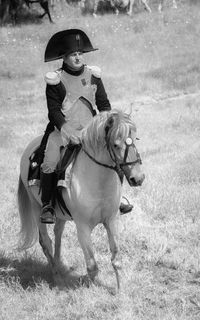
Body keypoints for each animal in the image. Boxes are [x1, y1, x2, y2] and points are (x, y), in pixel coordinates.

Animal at [17, 109, 145, 288]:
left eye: (135, 139)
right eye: (115, 145)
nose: (137, 178)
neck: (98, 181)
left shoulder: (111, 220)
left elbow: (116, 260)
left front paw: (120, 290)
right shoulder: (83, 227)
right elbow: (92, 266)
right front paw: (91, 288)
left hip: (61, 214)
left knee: (58, 234)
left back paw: (60, 265)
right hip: (36, 209)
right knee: (46, 242)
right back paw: (57, 277)